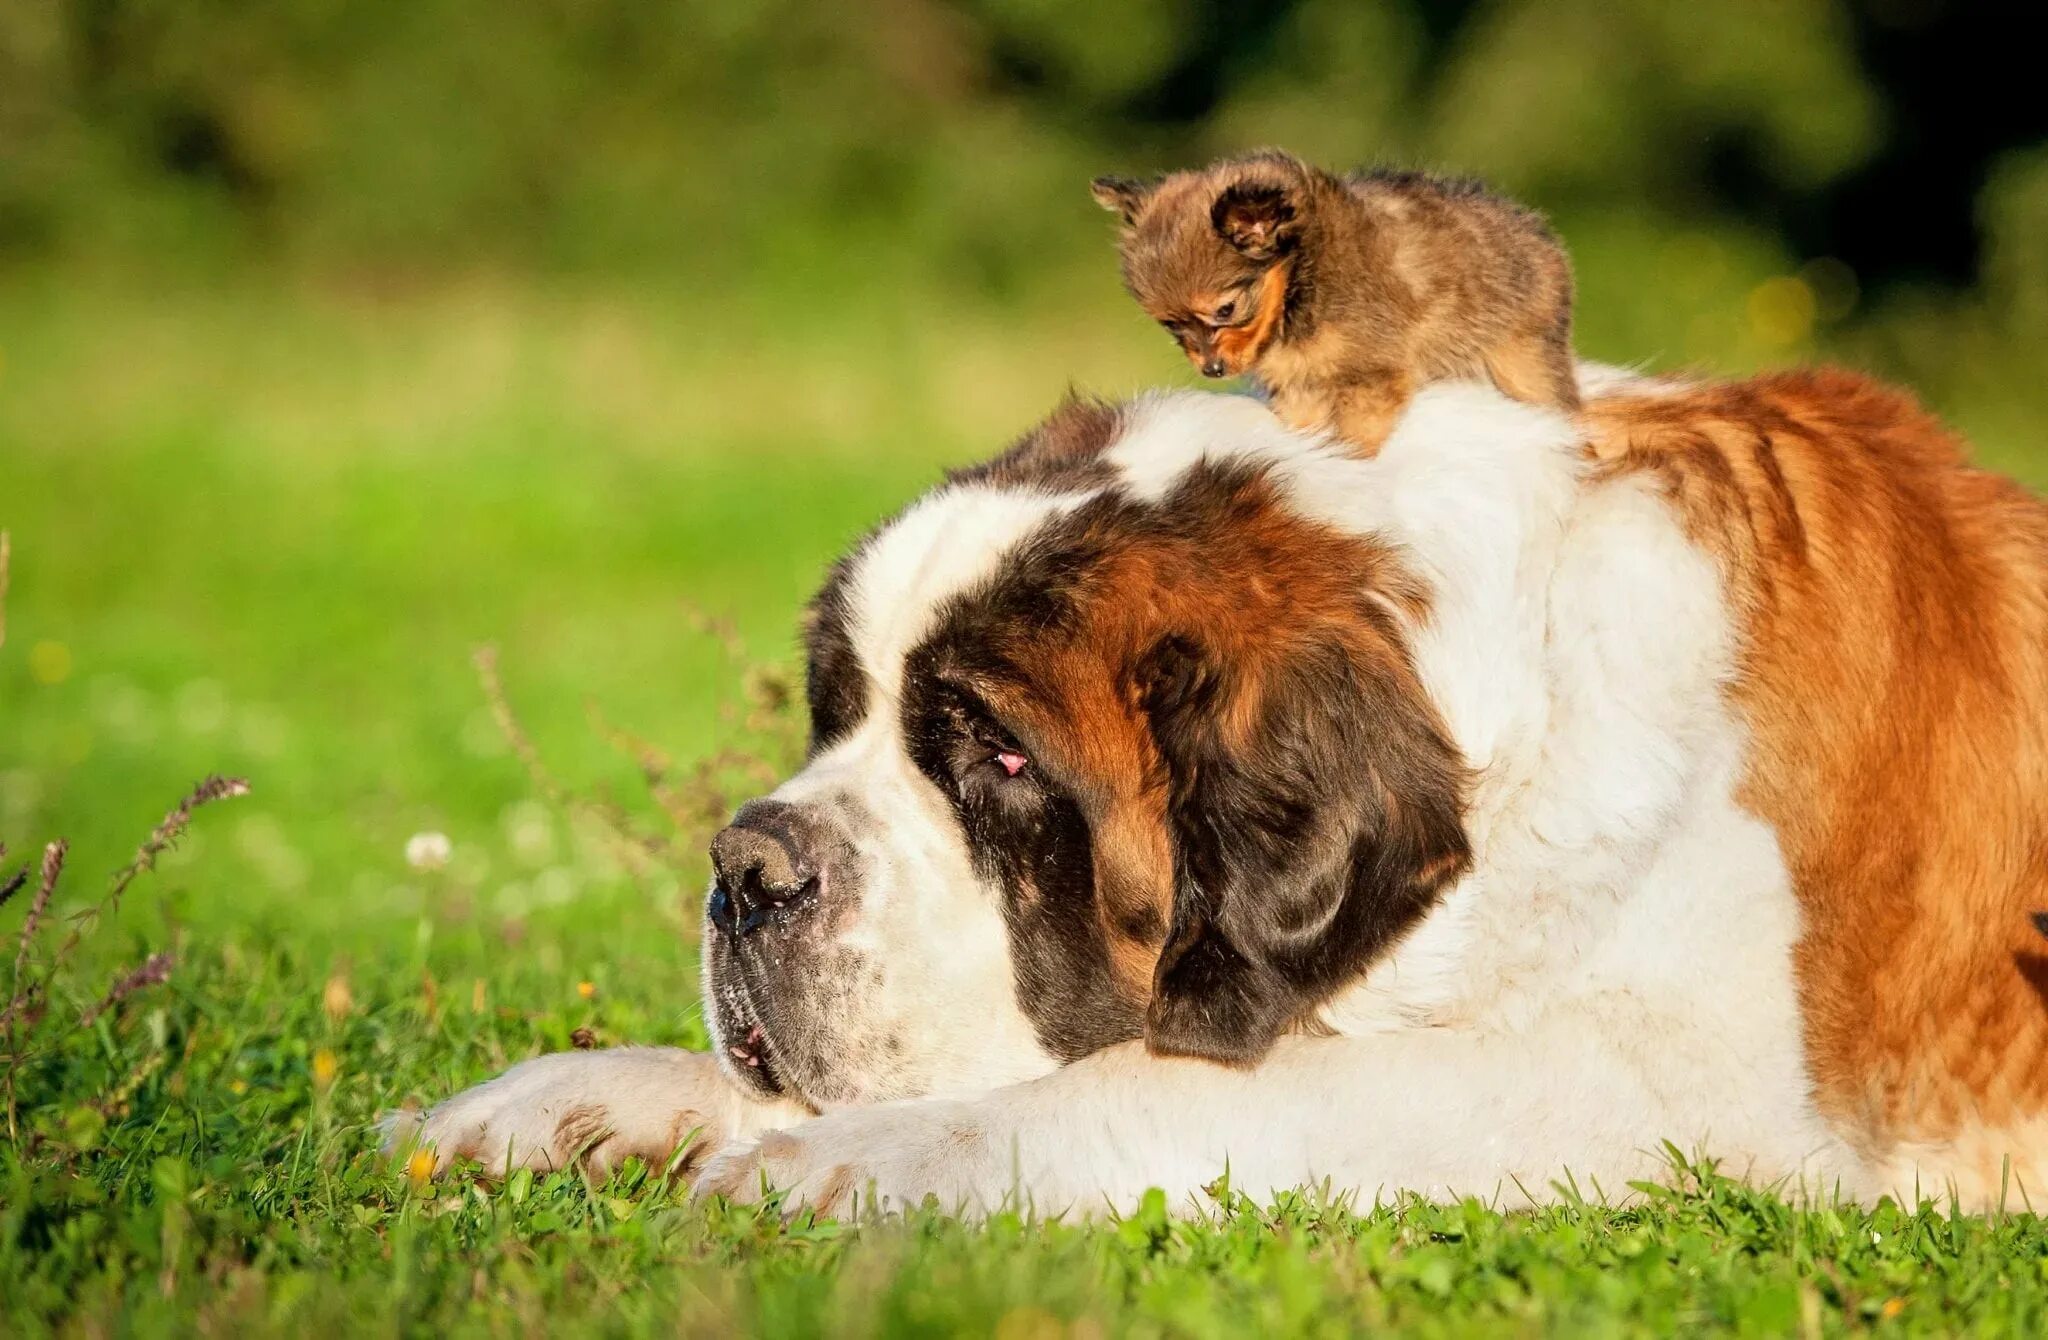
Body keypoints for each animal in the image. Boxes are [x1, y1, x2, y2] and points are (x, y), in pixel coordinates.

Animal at [391, 364, 2048, 1221]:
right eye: (836, 711)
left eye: (1001, 759)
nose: (748, 871)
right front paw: (572, 1103)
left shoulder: (1675, 1090)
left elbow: (1161, 1082)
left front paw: (832, 1168)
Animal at [1089, 151, 1581, 454]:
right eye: (1172, 327)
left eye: (1225, 311)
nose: (1212, 369)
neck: (1297, 290)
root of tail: (1540, 239)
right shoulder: (1300, 387)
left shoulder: (1370, 378)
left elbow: (1353, 439)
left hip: (1520, 359)